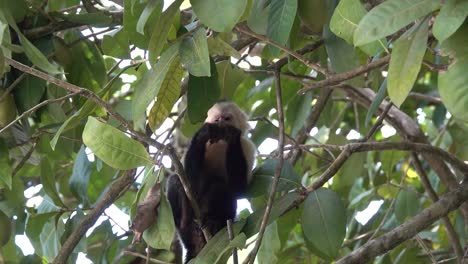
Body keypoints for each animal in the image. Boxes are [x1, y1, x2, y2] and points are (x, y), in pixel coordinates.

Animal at [166, 100, 256, 262]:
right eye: (216, 119)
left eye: (227, 118)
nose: (221, 123)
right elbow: (190, 180)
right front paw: (204, 133)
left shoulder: (247, 147)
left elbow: (239, 190)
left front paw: (232, 137)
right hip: (186, 233)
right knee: (175, 181)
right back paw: (183, 218)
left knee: (221, 188)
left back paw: (214, 223)